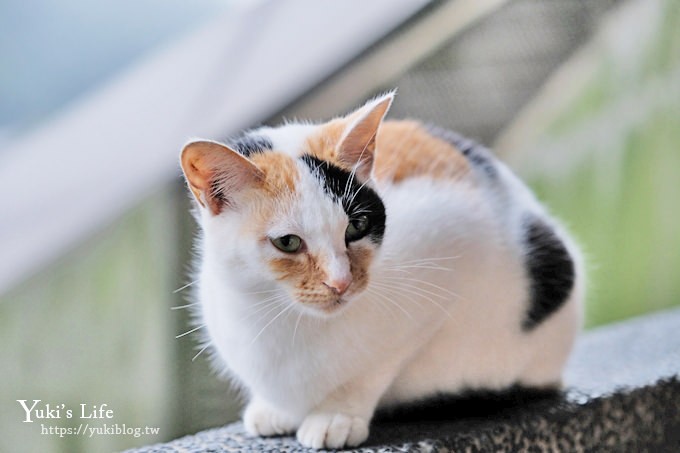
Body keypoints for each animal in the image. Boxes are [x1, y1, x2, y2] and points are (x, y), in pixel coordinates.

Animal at [178, 92, 580, 448]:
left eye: (357, 226)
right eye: (288, 242)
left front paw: (337, 414)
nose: (341, 282)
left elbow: (376, 366)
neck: (287, 318)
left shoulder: (452, 251)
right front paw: (275, 409)